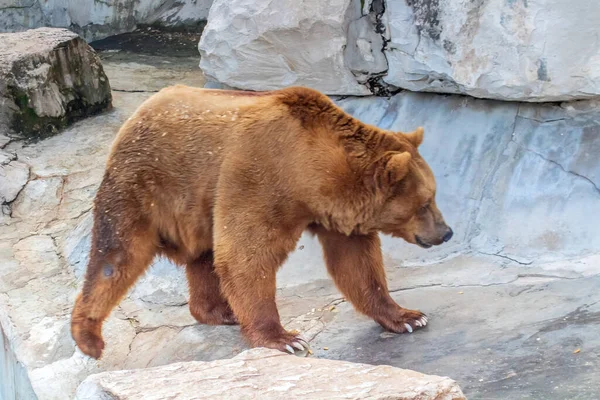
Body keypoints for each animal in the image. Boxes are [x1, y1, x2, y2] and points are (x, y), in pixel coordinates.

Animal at [70, 85, 452, 360]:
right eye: (425, 202)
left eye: (433, 195)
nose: (446, 232)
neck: (312, 173)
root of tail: (138, 111)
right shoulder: (261, 177)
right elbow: (247, 255)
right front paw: (285, 339)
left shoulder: (337, 217)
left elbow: (357, 264)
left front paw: (408, 316)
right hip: (144, 184)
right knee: (116, 257)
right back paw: (88, 338)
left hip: (197, 204)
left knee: (203, 256)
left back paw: (218, 311)